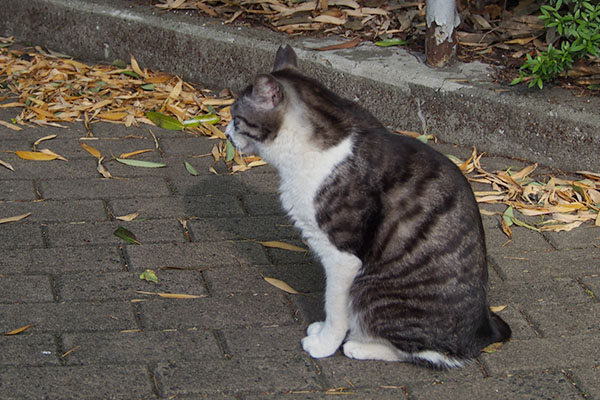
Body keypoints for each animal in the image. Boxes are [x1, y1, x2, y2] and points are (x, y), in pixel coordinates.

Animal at [225, 44, 510, 368]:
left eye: (235, 117)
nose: (226, 133)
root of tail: (481, 333)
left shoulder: (342, 258)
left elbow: (335, 308)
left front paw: (325, 343)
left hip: (369, 288)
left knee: (422, 352)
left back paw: (359, 346)